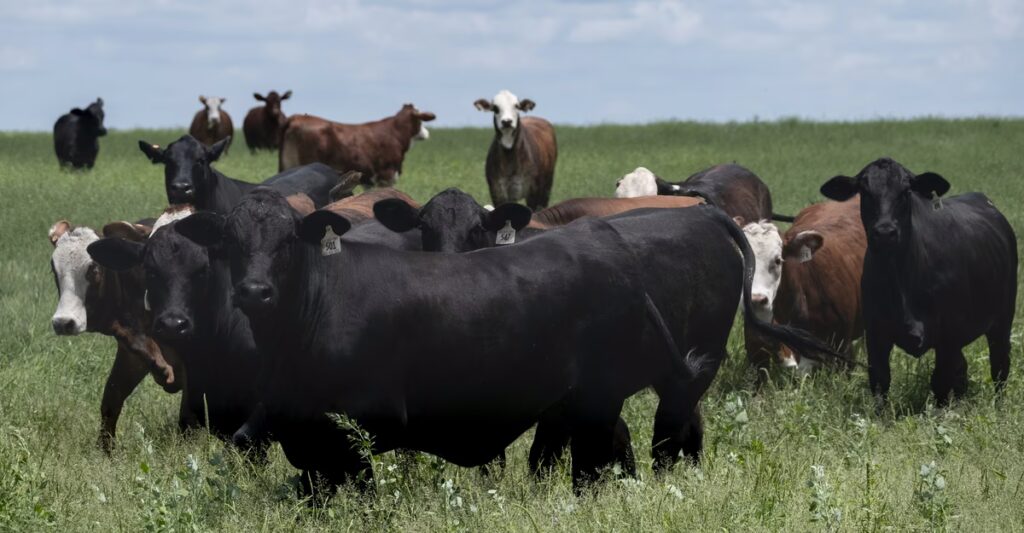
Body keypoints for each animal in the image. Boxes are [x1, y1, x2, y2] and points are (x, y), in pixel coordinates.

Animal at [48, 210, 191, 452]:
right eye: (54, 268)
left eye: (93, 269)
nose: (63, 322)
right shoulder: (131, 355)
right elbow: (111, 398)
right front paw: (105, 452)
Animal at [174, 188, 840, 496]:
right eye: (230, 244)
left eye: (288, 241)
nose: (254, 290)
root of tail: (701, 213)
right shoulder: (302, 438)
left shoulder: (352, 435)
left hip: (629, 391)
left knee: (637, 445)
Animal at [278, 104, 436, 188]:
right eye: (421, 121)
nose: (427, 133)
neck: (395, 132)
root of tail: (297, 117)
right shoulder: (387, 175)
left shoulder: (368, 179)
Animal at [820, 157, 1017, 406]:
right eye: (864, 191)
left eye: (905, 191)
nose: (885, 232)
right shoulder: (876, 335)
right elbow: (880, 382)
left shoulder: (948, 335)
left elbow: (941, 382)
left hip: (1002, 319)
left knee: (999, 365)